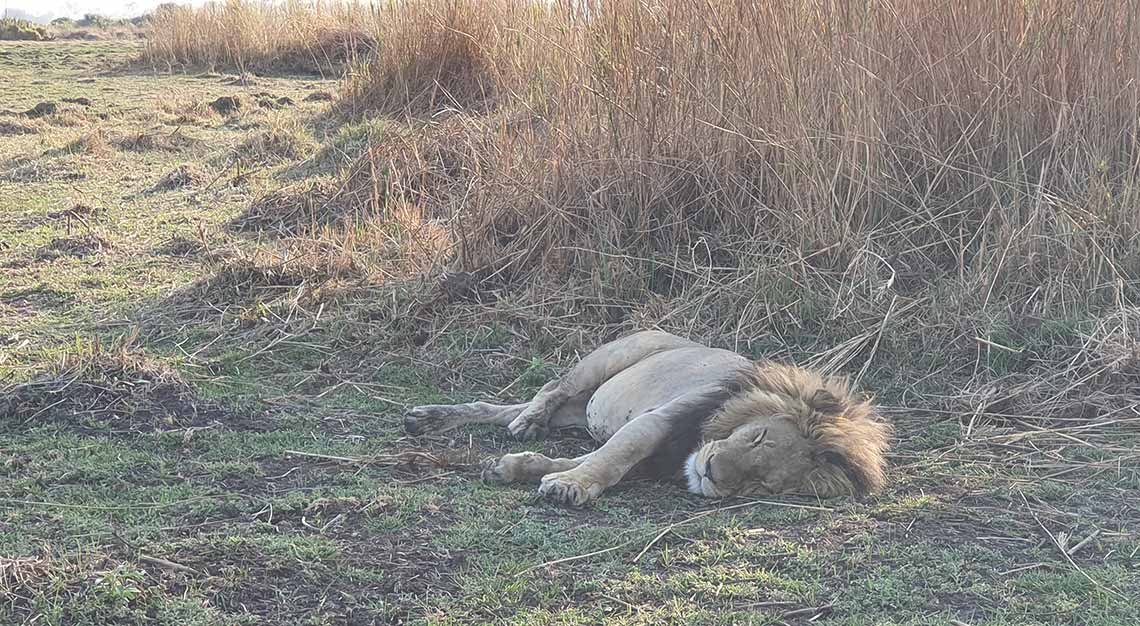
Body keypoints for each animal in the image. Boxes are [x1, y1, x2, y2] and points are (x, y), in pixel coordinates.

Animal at [405, 328, 893, 506]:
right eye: (756, 437)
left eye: (763, 484)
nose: (711, 472)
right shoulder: (657, 421)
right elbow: (611, 458)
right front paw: (568, 487)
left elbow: (584, 460)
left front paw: (513, 469)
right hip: (609, 359)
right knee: (547, 390)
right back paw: (524, 423)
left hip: (578, 413)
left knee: (504, 407)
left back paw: (430, 419)